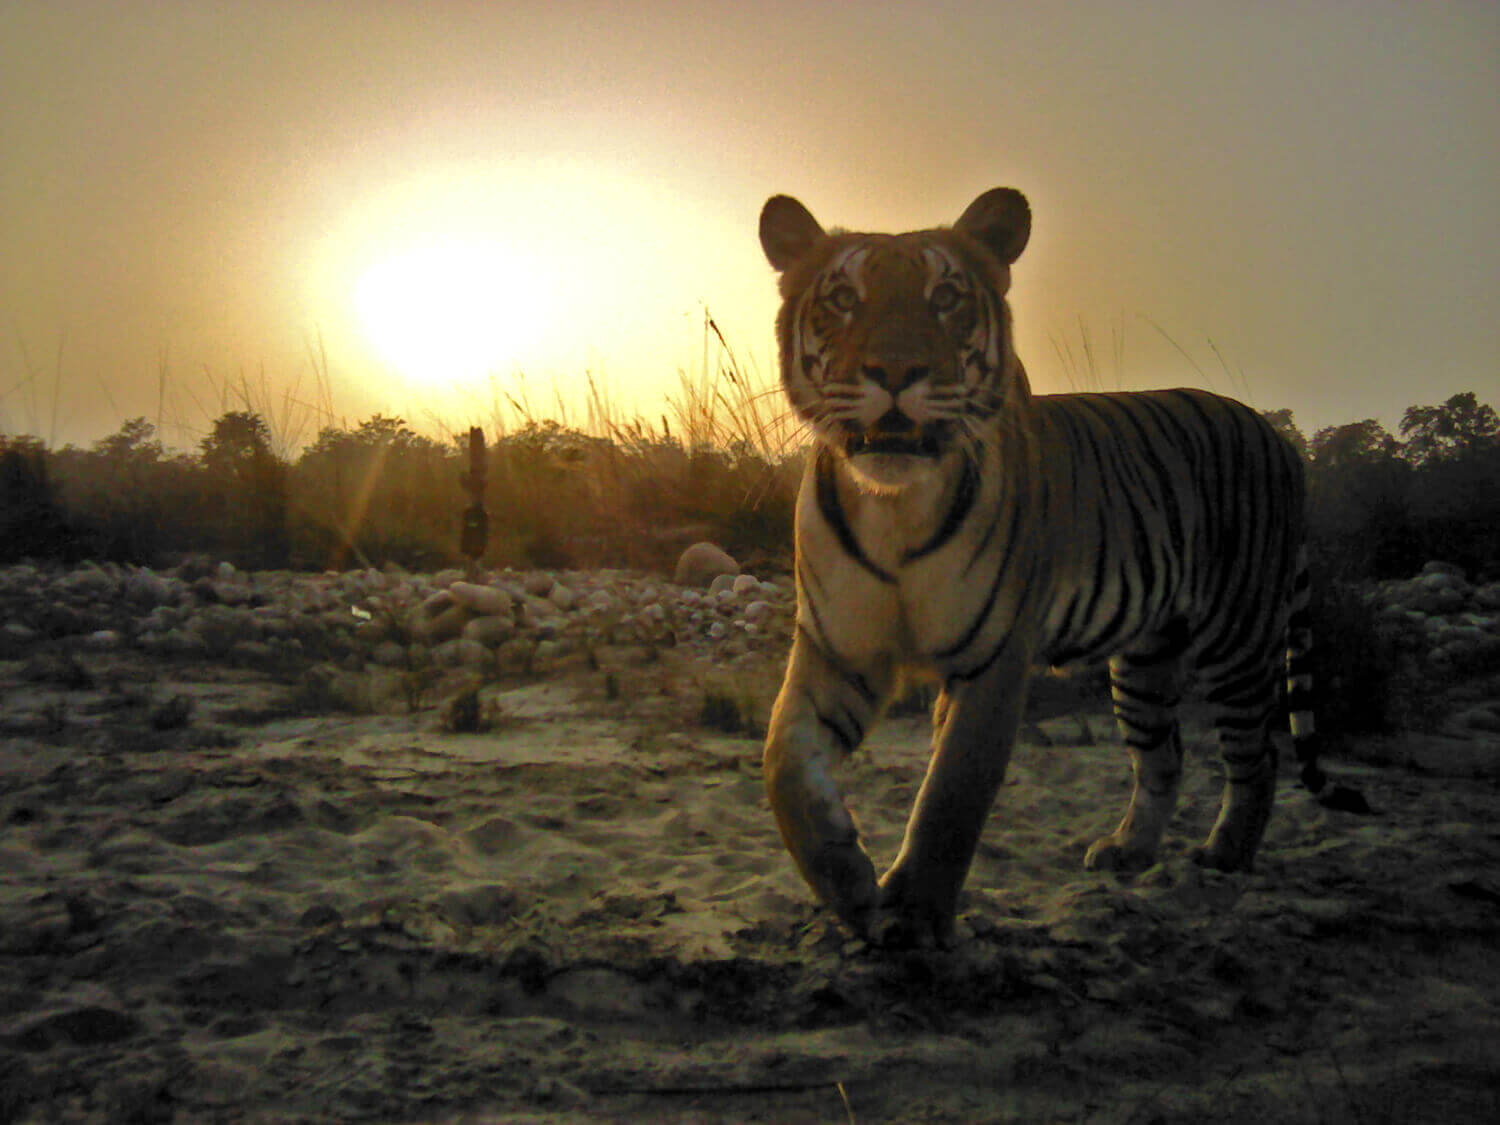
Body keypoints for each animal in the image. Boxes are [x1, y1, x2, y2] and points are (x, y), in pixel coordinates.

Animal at [758, 186, 1345, 947]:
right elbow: (784, 766)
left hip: (1238, 638)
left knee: (1257, 756)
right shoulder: (837, 650)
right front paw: (849, 883)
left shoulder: (994, 658)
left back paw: (1225, 856)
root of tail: (1279, 439)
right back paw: (1127, 852)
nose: (893, 372)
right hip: (1147, 661)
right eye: (842, 298)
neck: (895, 509)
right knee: (1164, 756)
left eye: (945, 297)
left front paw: (915, 915)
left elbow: (952, 793)